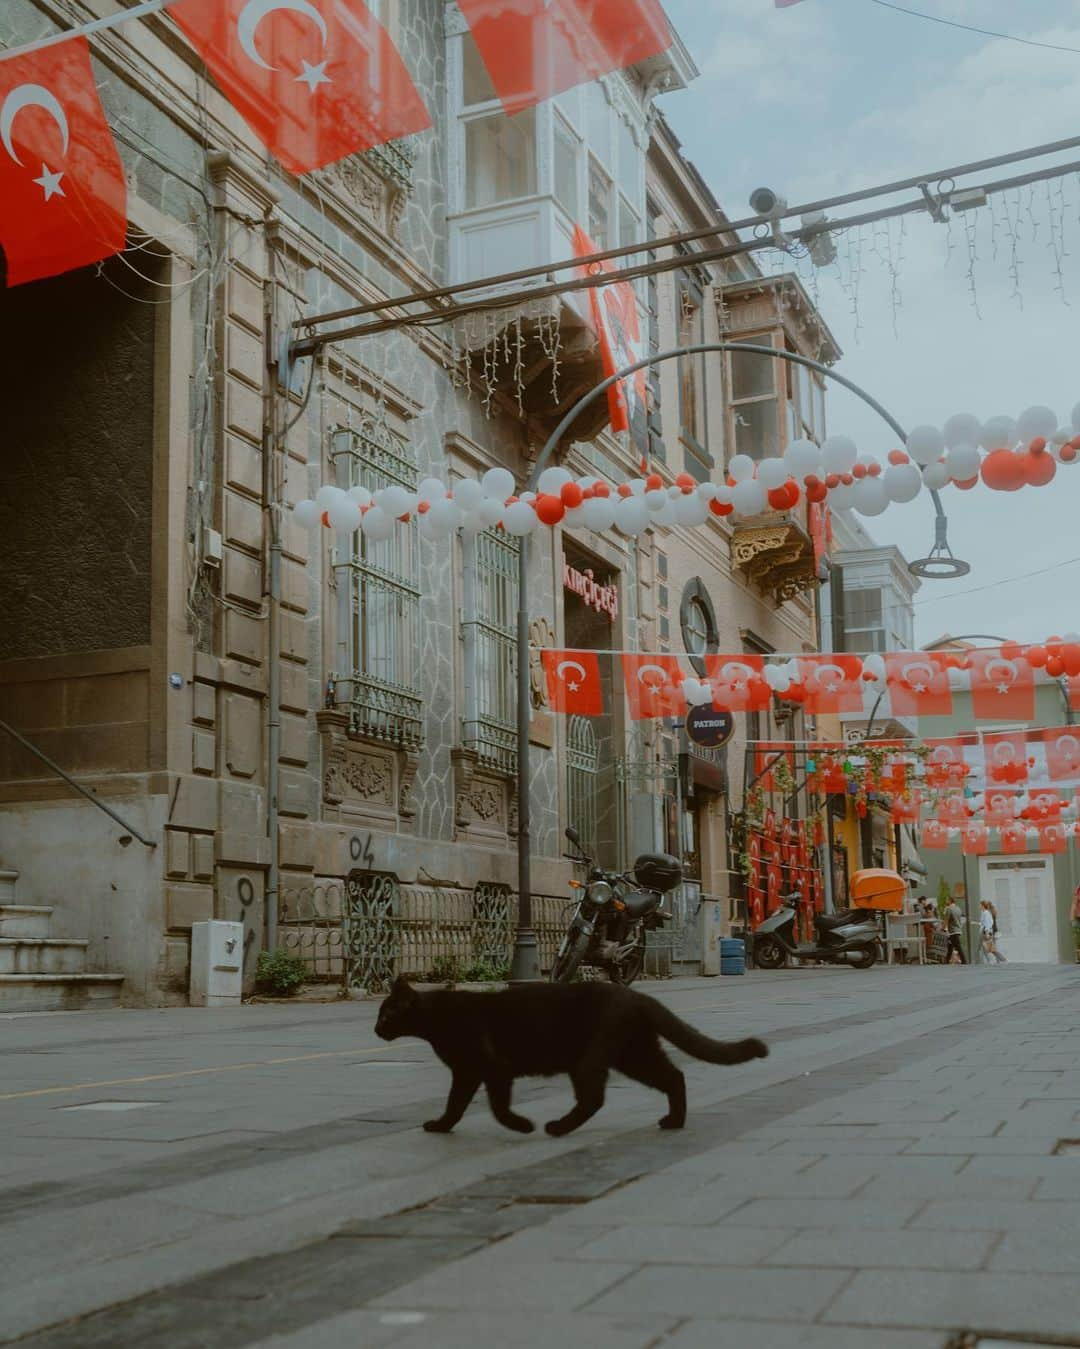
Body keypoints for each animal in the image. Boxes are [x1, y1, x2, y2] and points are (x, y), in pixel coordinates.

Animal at [374, 976, 760, 1133]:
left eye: (386, 1014)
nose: (376, 1029)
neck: (436, 1018)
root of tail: (637, 996)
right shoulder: (467, 1073)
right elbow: (455, 1105)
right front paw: (441, 1127)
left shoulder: (492, 1069)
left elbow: (497, 1107)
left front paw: (521, 1126)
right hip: (634, 1054)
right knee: (673, 1076)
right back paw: (674, 1121)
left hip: (593, 1058)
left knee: (593, 1098)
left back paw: (557, 1128)